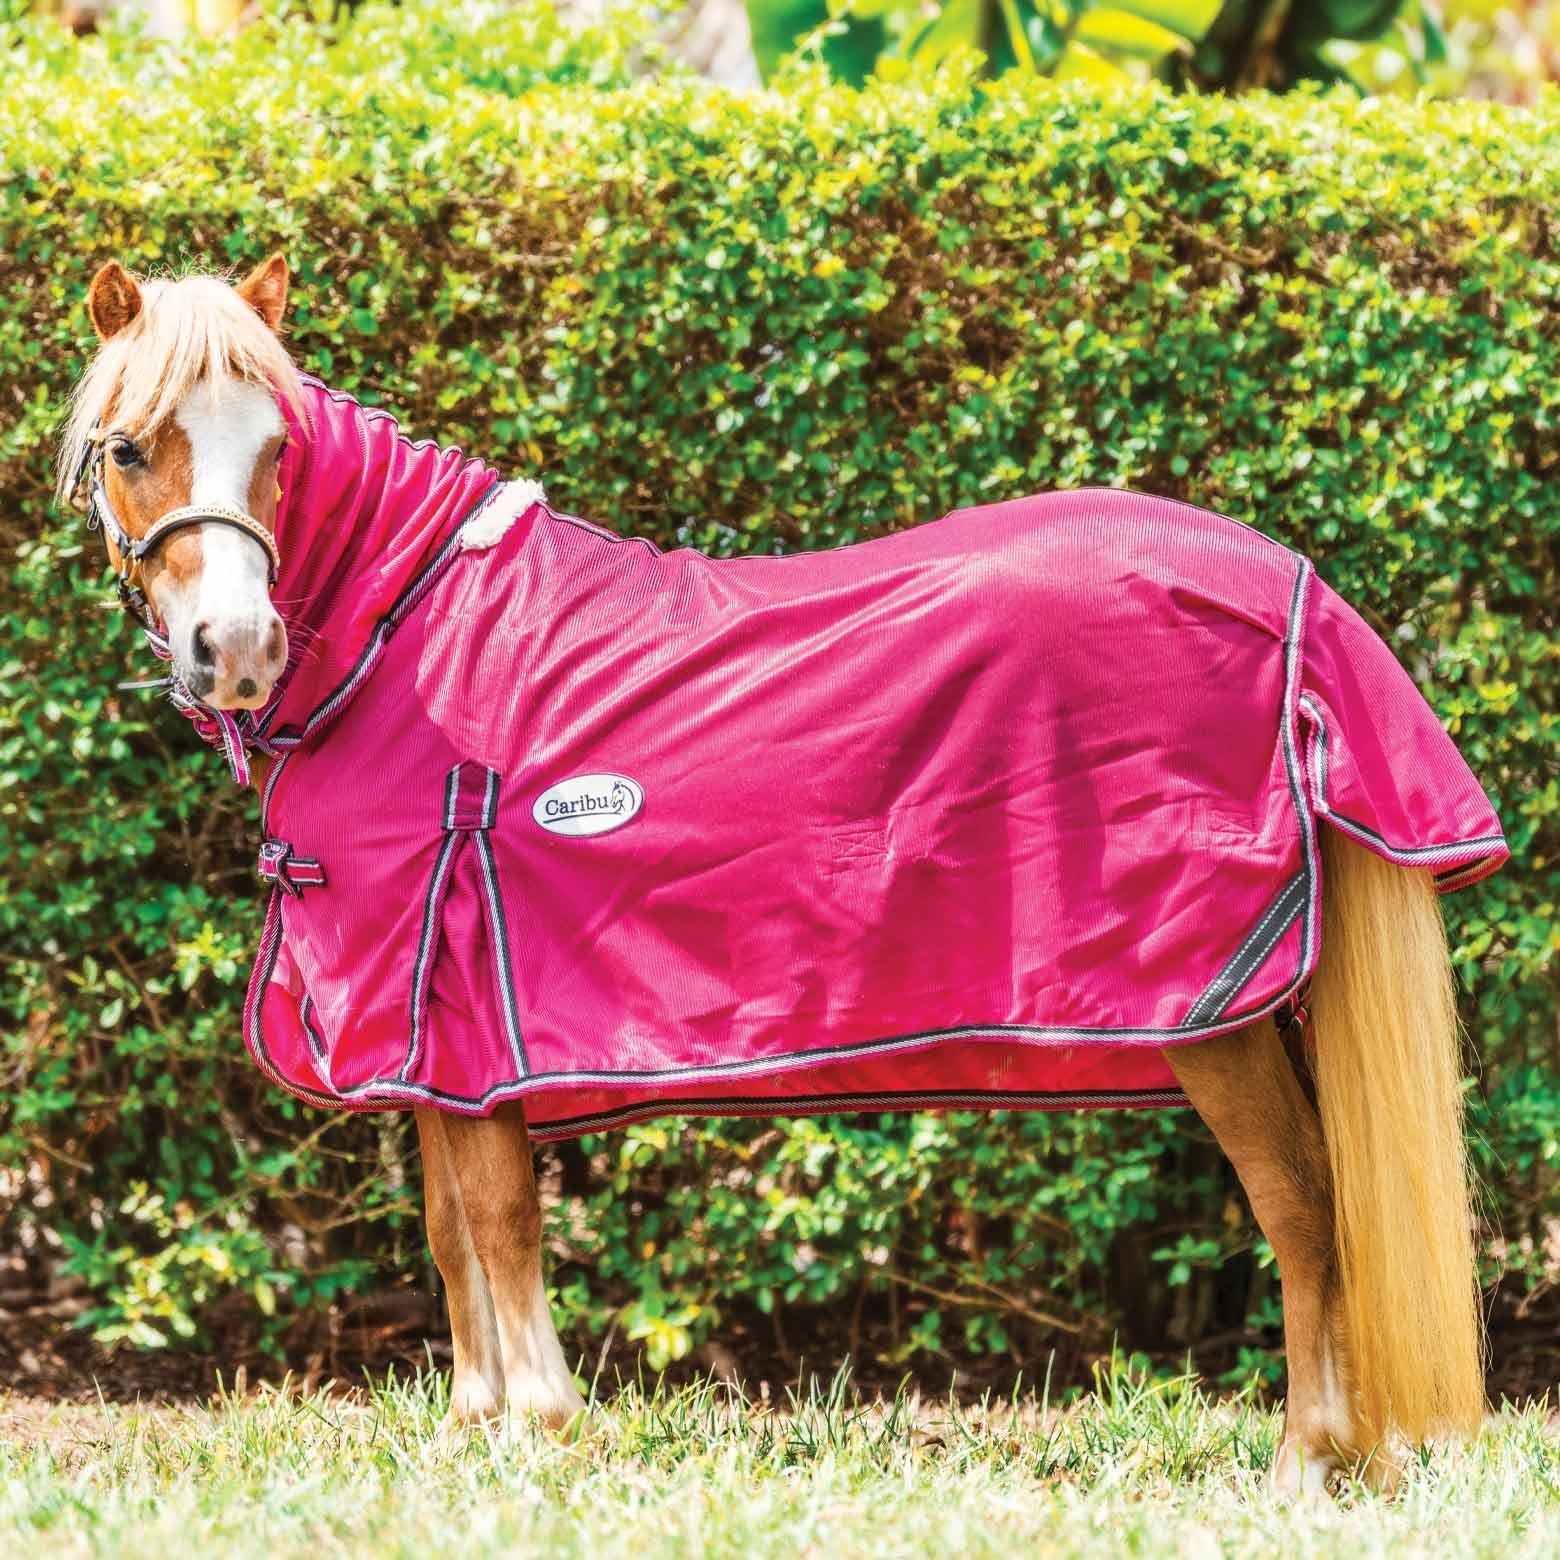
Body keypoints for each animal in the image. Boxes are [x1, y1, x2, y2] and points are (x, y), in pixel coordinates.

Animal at [58, 255, 1508, 1495]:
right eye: (130, 448)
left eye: (281, 451)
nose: (235, 648)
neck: (413, 639)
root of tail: (1291, 591)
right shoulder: (421, 1019)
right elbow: (447, 1226)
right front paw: (477, 1430)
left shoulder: (461, 997)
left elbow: (499, 1217)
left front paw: (542, 1433)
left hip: (1211, 1011)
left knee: (1307, 1205)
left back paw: (1308, 1464)